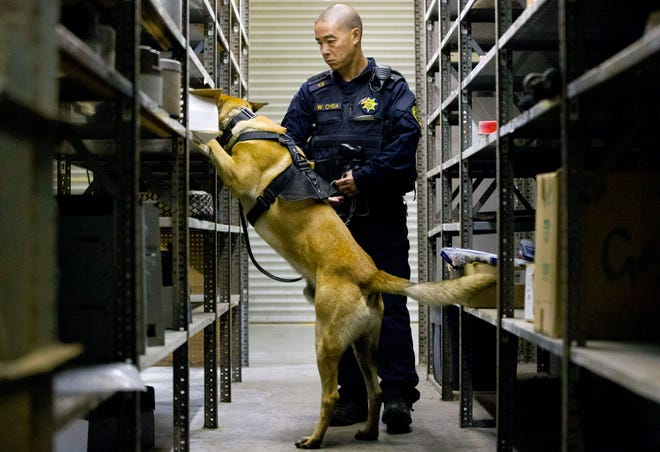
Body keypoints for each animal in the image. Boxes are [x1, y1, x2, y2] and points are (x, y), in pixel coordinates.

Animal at [206, 92, 496, 448]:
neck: (246, 122)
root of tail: (369, 275)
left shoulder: (236, 173)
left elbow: (212, 144)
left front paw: (198, 132)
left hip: (325, 340)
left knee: (330, 396)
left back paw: (314, 439)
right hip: (363, 345)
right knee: (376, 391)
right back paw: (368, 431)